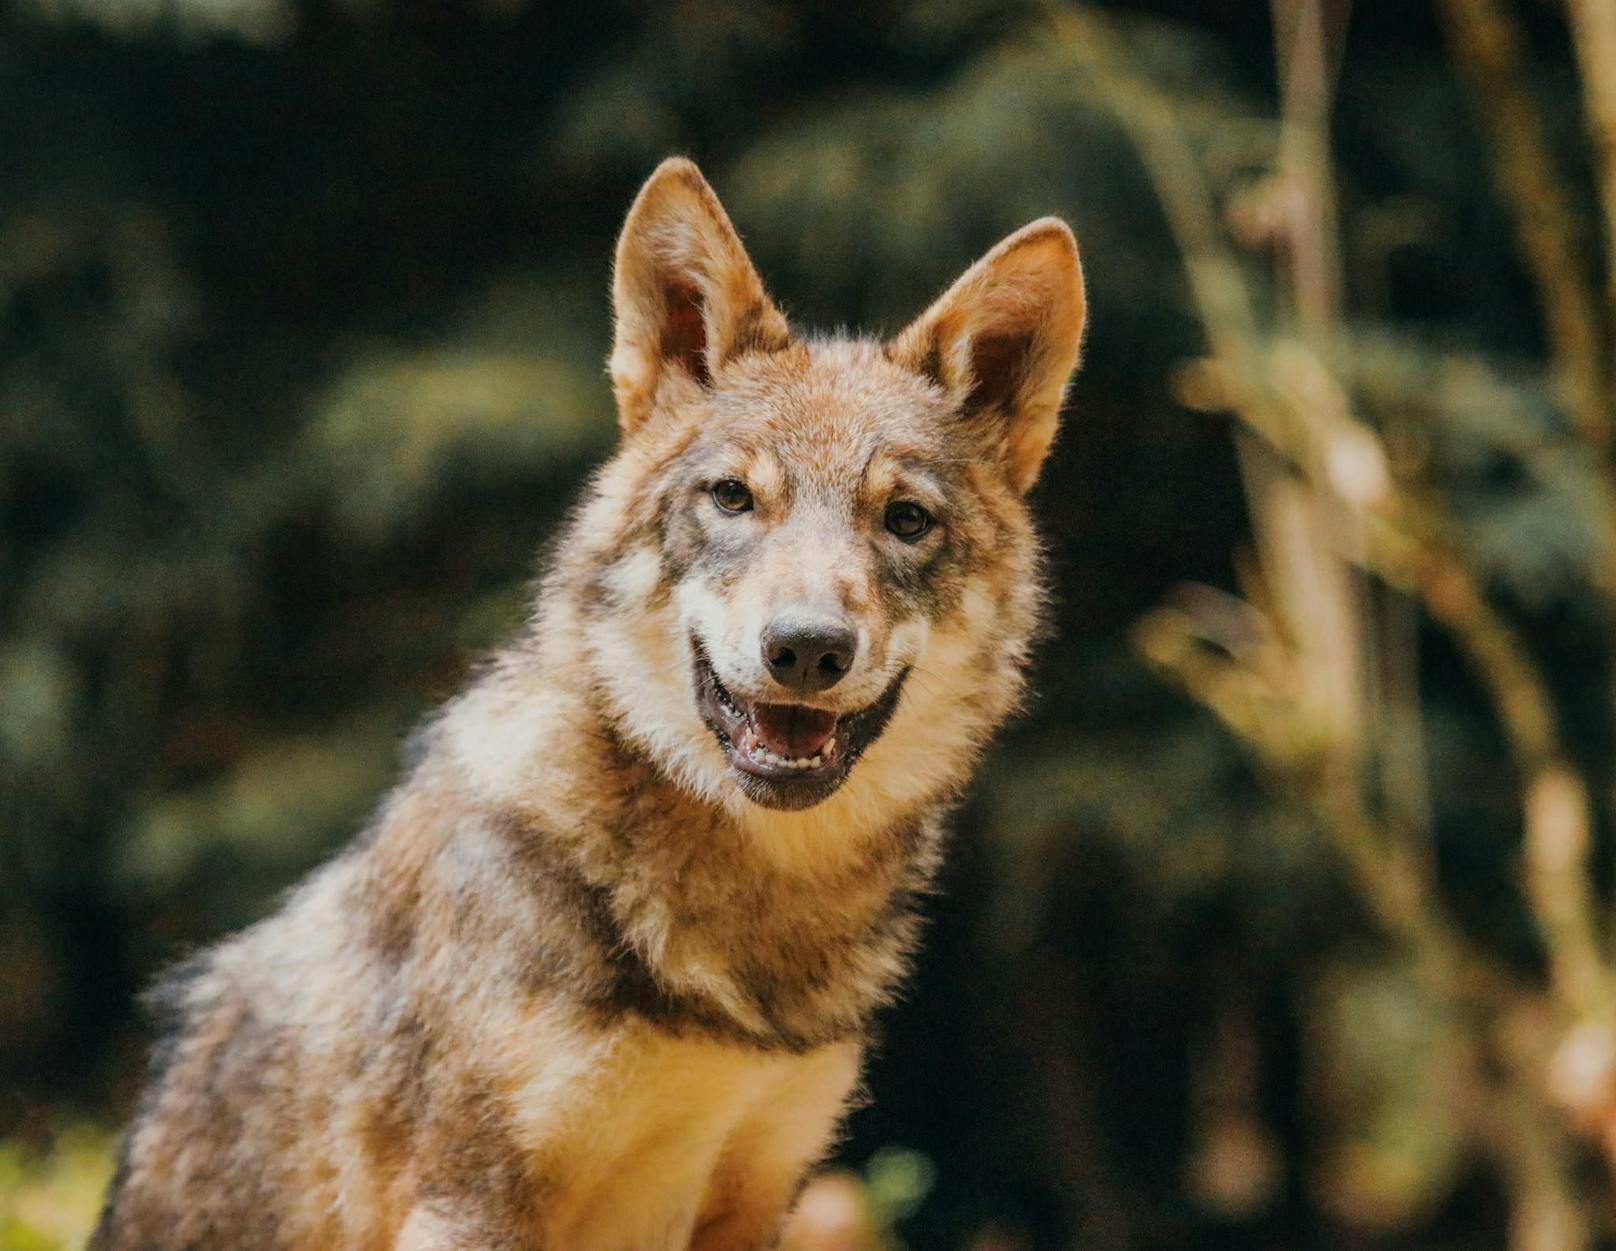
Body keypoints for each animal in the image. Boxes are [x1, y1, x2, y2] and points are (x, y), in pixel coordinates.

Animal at [91, 159, 1085, 1251]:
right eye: (732, 498)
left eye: (905, 520)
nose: (806, 648)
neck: (748, 919)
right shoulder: (470, 1202)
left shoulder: (757, 1197)